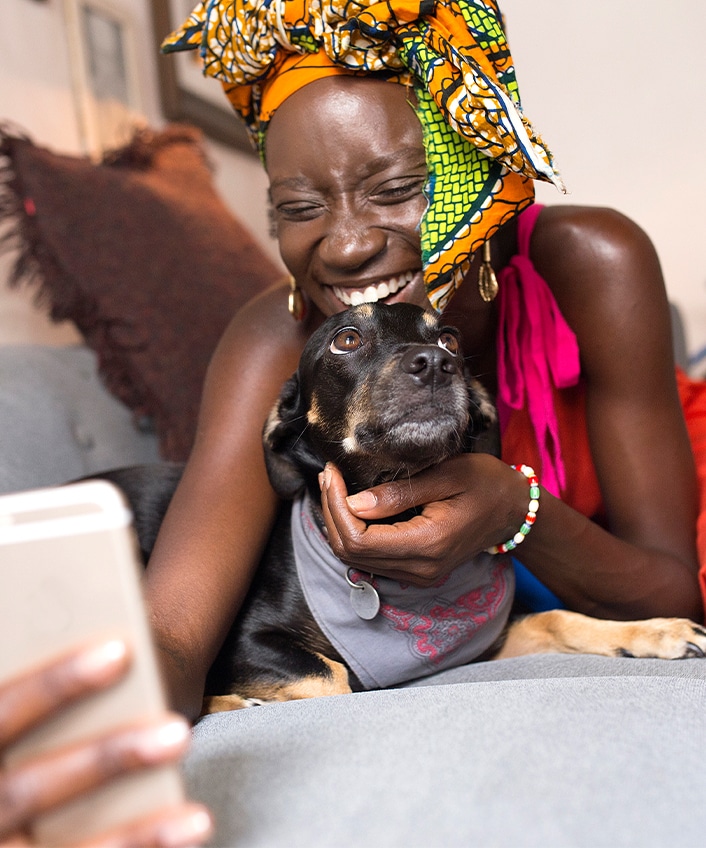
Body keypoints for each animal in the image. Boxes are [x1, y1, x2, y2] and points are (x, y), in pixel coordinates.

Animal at [99, 302, 704, 712]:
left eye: (451, 339)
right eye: (346, 339)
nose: (437, 363)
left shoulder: (486, 644)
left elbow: (558, 617)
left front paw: (655, 632)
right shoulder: (243, 642)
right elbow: (333, 678)